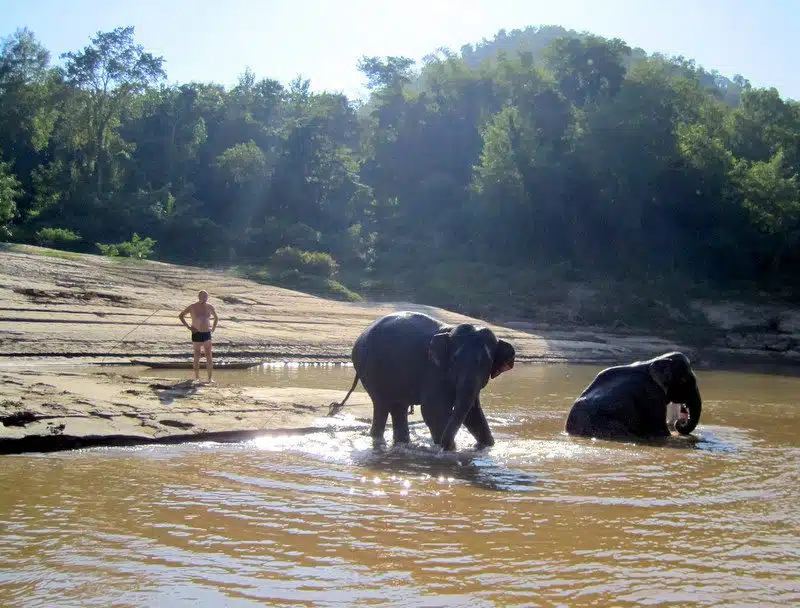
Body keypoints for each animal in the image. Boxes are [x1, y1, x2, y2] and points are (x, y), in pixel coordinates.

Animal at [328, 311, 516, 451]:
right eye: (455, 359)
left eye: (487, 363)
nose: (445, 447)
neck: (449, 331)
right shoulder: (433, 371)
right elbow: (434, 411)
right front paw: (450, 451)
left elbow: (473, 412)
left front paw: (486, 447)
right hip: (370, 368)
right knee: (382, 404)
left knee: (398, 406)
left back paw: (402, 443)